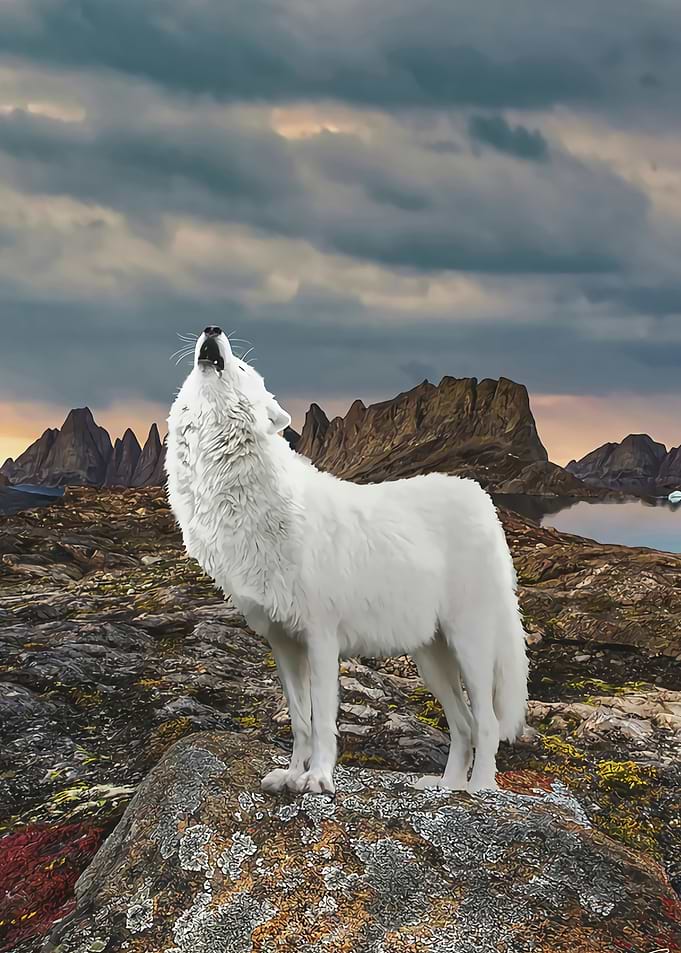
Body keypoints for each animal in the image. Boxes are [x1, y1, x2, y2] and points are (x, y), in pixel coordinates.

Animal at [166, 327, 528, 795]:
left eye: (243, 367)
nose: (212, 329)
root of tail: (482, 498)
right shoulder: (283, 643)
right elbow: (300, 721)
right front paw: (291, 775)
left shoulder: (321, 639)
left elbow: (322, 721)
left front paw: (318, 778)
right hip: (430, 658)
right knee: (462, 725)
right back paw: (446, 787)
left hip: (470, 646)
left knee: (486, 723)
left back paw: (479, 790)